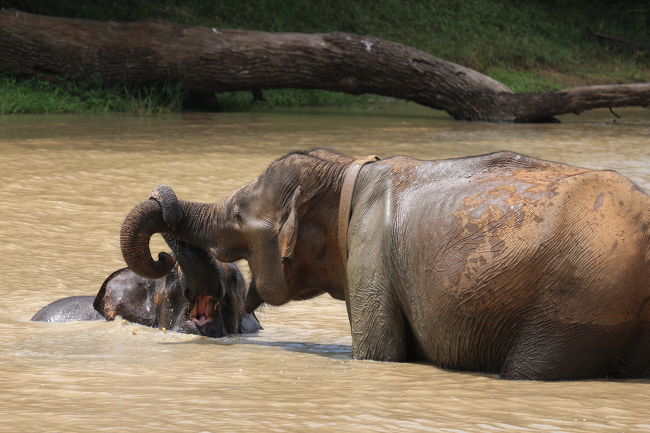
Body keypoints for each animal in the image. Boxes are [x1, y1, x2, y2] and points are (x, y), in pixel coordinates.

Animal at [119, 148, 648, 378]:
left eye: (234, 217)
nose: (165, 249)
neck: (347, 168)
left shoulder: (370, 250)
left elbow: (382, 352)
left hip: (577, 298)